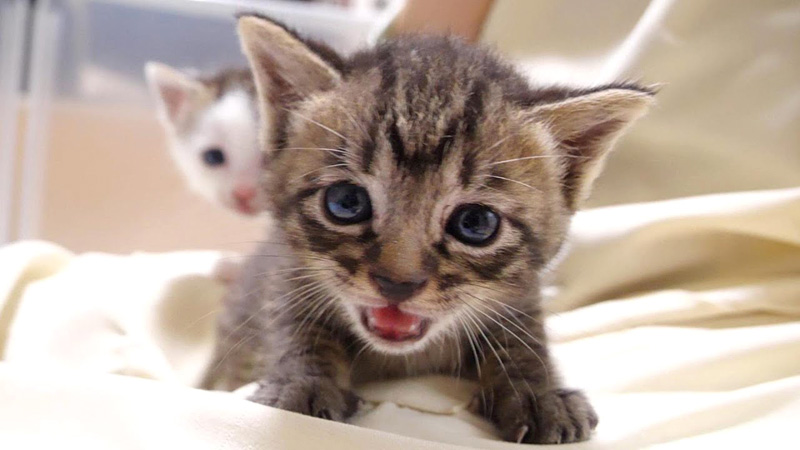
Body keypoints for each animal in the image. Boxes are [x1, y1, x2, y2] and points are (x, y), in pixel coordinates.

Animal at [206, 13, 656, 442]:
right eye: (346, 202)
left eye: (475, 223)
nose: (397, 284)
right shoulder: (284, 274)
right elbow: (293, 323)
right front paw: (302, 381)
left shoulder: (521, 295)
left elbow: (523, 336)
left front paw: (538, 392)